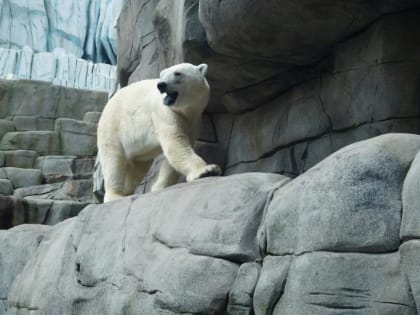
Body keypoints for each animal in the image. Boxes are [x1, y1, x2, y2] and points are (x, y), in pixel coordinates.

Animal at [97, 62, 221, 202]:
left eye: (177, 73)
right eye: (162, 75)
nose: (161, 84)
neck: (186, 111)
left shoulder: (194, 121)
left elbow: (174, 154)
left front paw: (158, 187)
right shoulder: (165, 113)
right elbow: (175, 144)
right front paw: (206, 170)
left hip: (139, 150)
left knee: (139, 168)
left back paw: (127, 192)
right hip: (113, 126)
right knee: (113, 161)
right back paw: (115, 195)